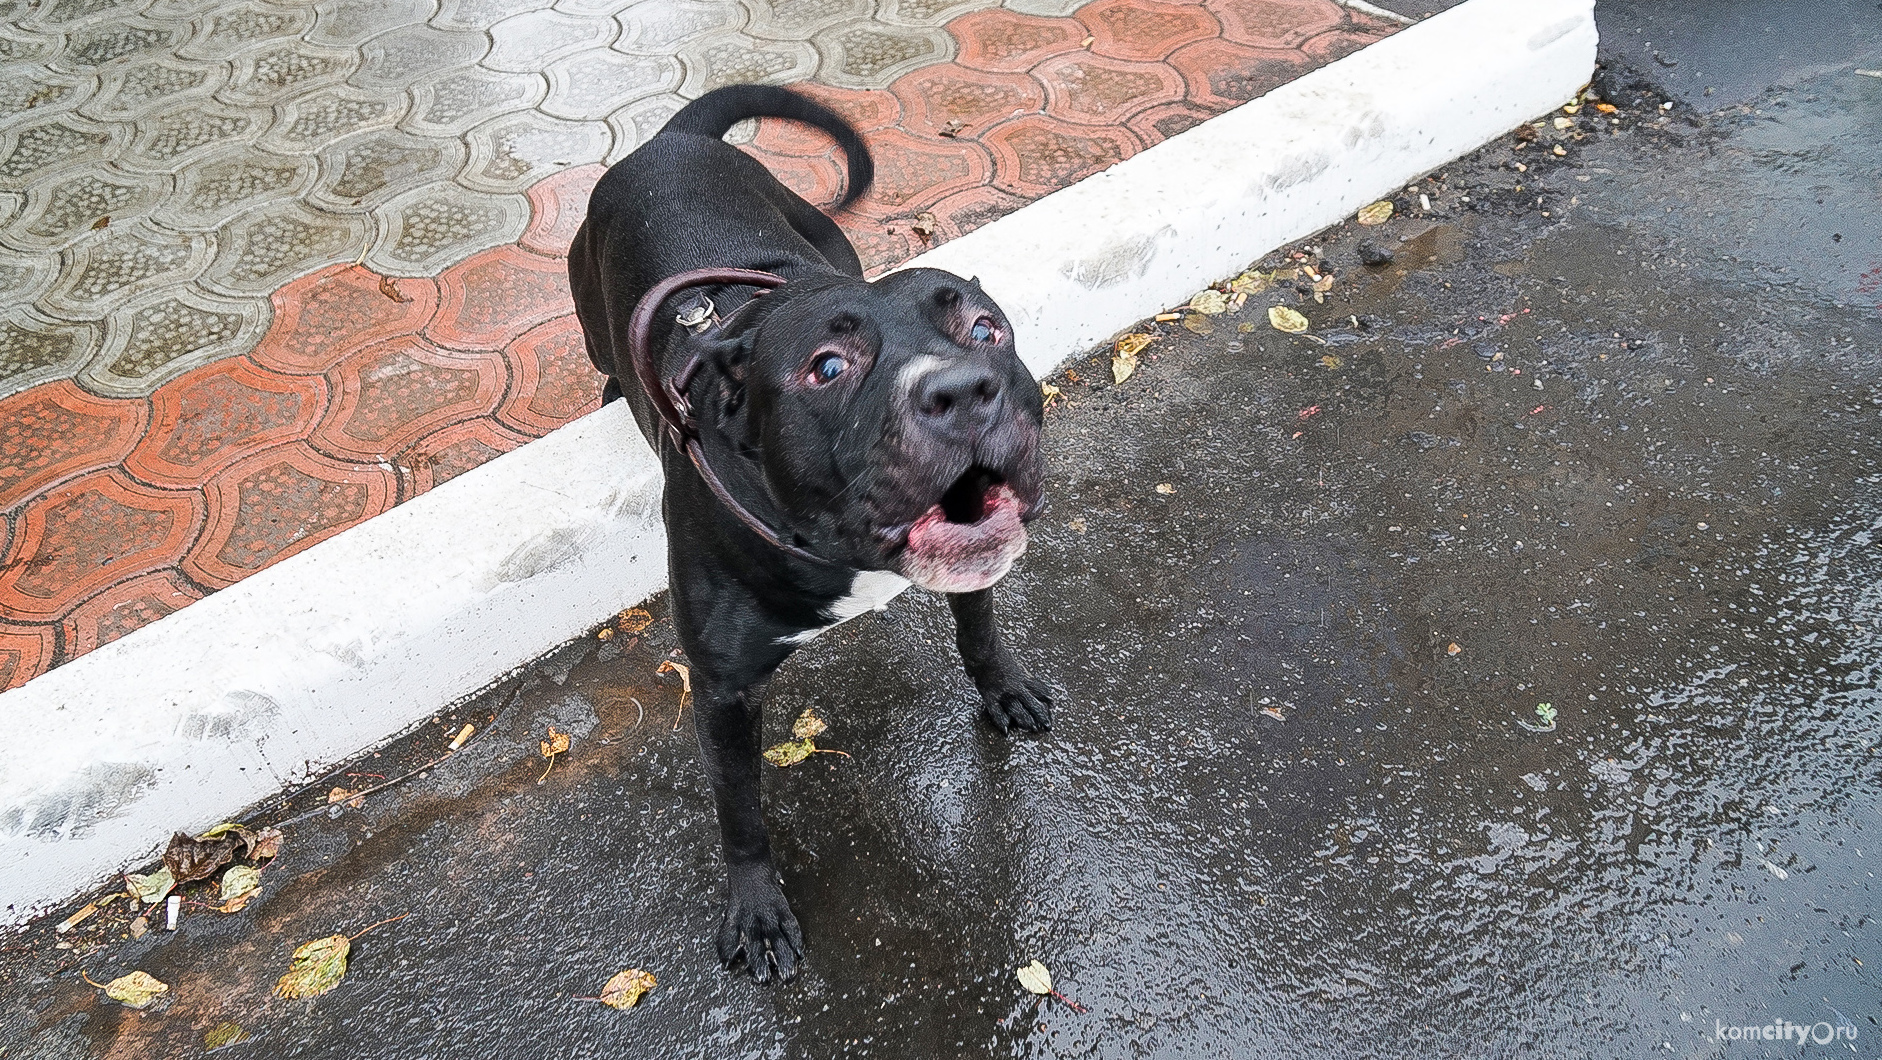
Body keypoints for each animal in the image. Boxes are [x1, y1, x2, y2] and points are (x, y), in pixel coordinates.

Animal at [557, 87, 1061, 986]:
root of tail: (668, 140)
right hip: (588, 305)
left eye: (985, 330)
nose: (965, 390)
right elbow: (741, 815)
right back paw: (613, 389)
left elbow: (980, 632)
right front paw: (757, 913)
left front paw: (1003, 687)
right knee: (603, 356)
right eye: (827, 367)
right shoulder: (722, 696)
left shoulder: (970, 569)